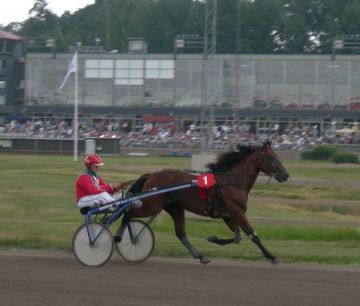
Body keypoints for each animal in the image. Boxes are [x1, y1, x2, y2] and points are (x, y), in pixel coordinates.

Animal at [120, 140, 290, 264]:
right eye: (272, 157)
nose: (286, 175)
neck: (232, 182)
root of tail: (151, 175)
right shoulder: (237, 211)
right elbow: (252, 235)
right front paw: (272, 257)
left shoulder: (228, 215)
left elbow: (237, 237)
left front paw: (213, 239)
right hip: (151, 206)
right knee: (128, 213)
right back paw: (122, 238)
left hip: (175, 208)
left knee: (181, 233)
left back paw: (201, 257)